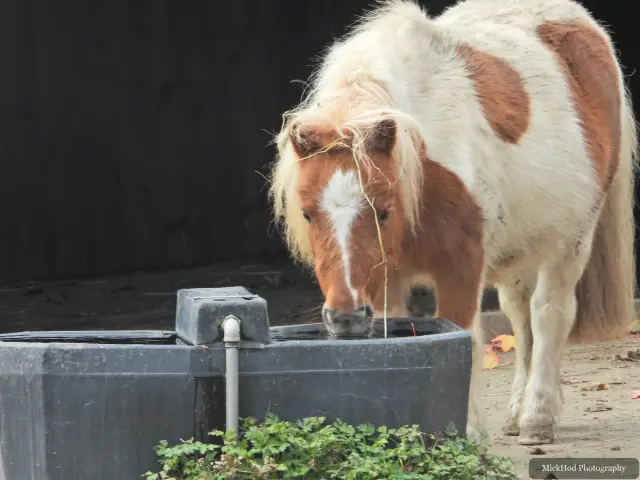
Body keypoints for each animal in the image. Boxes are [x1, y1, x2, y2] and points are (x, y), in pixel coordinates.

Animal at [268, 0, 637, 446]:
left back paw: (537, 418)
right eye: (308, 213)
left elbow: (468, 338)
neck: (426, 161)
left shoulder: (461, 265)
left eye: (383, 210)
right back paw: (517, 412)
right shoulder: (385, 279)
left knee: (549, 314)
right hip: (517, 251)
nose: (345, 318)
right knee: (520, 317)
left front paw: (469, 432)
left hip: (571, 242)